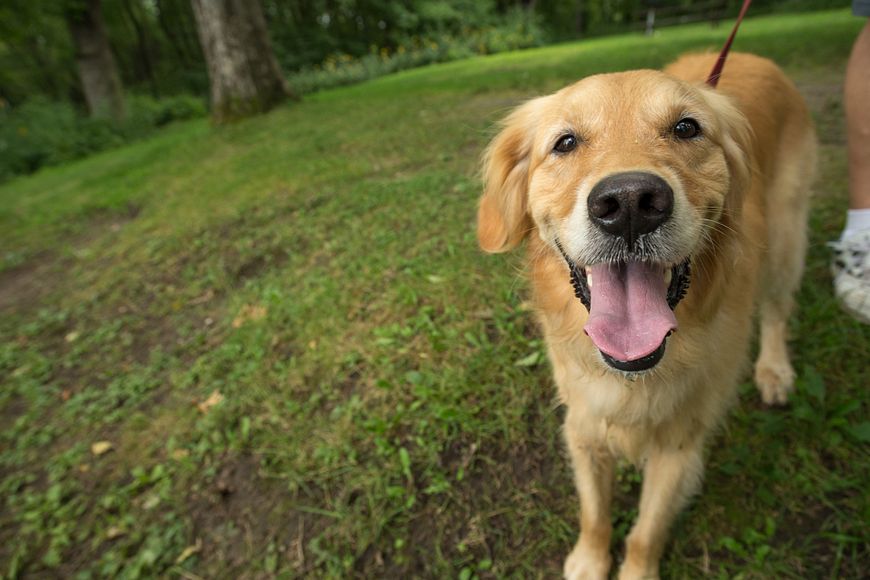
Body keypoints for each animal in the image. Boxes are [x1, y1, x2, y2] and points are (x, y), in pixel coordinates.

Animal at [476, 52, 816, 576]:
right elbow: (594, 512)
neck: (634, 374)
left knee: (778, 309)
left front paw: (634, 568)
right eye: (565, 142)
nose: (630, 202)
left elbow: (646, 532)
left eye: (686, 128)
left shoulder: (679, 445)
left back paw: (774, 370)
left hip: (784, 240)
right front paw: (590, 560)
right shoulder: (584, 423)